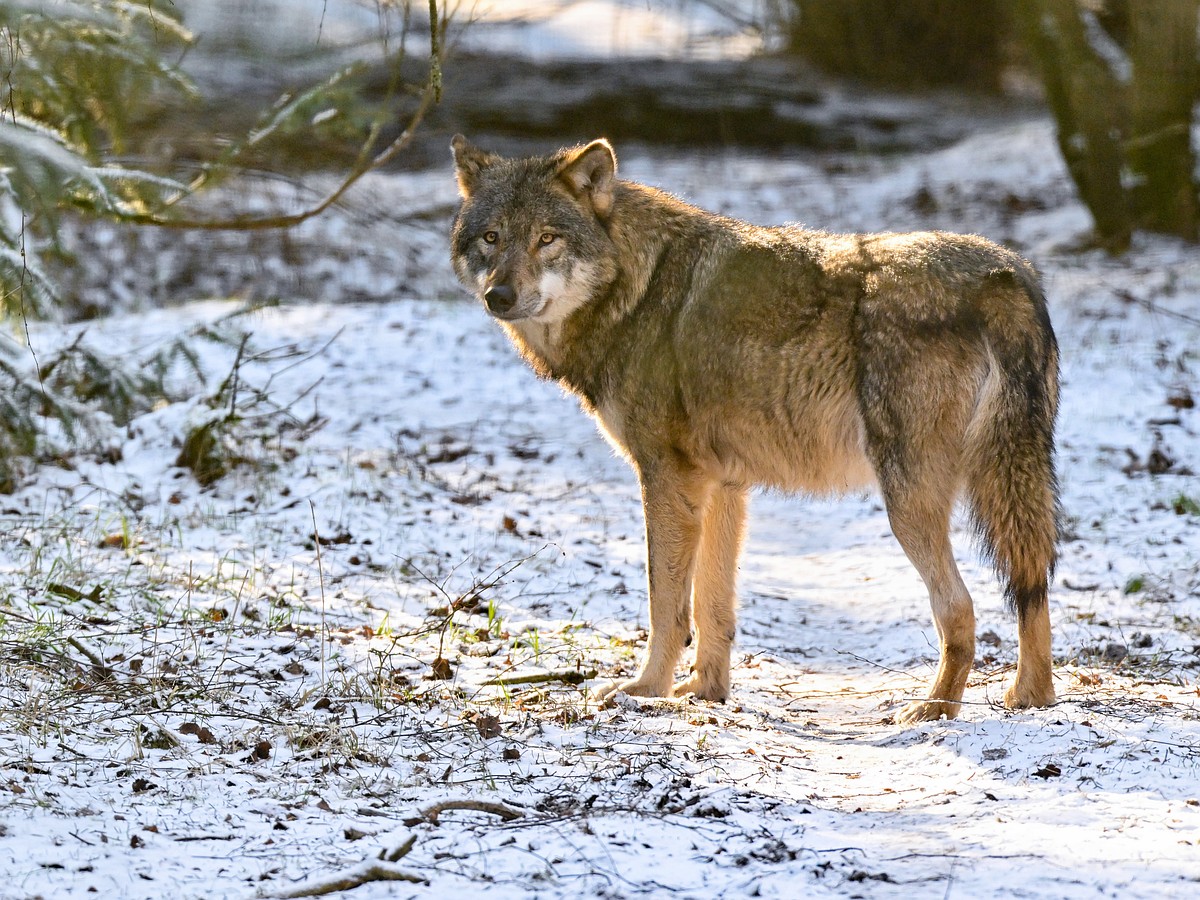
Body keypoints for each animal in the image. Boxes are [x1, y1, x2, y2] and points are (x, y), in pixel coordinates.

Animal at [451, 135, 1060, 724]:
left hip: (908, 502)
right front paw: (705, 692)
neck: (636, 287)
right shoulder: (722, 486)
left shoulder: (665, 478)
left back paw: (934, 709)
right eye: (491, 238)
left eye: (547, 239)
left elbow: (666, 605)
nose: (499, 296)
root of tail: (1003, 274)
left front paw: (645, 692)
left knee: (960, 608)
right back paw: (1030, 698)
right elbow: (712, 606)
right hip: (1005, 483)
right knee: (1032, 587)